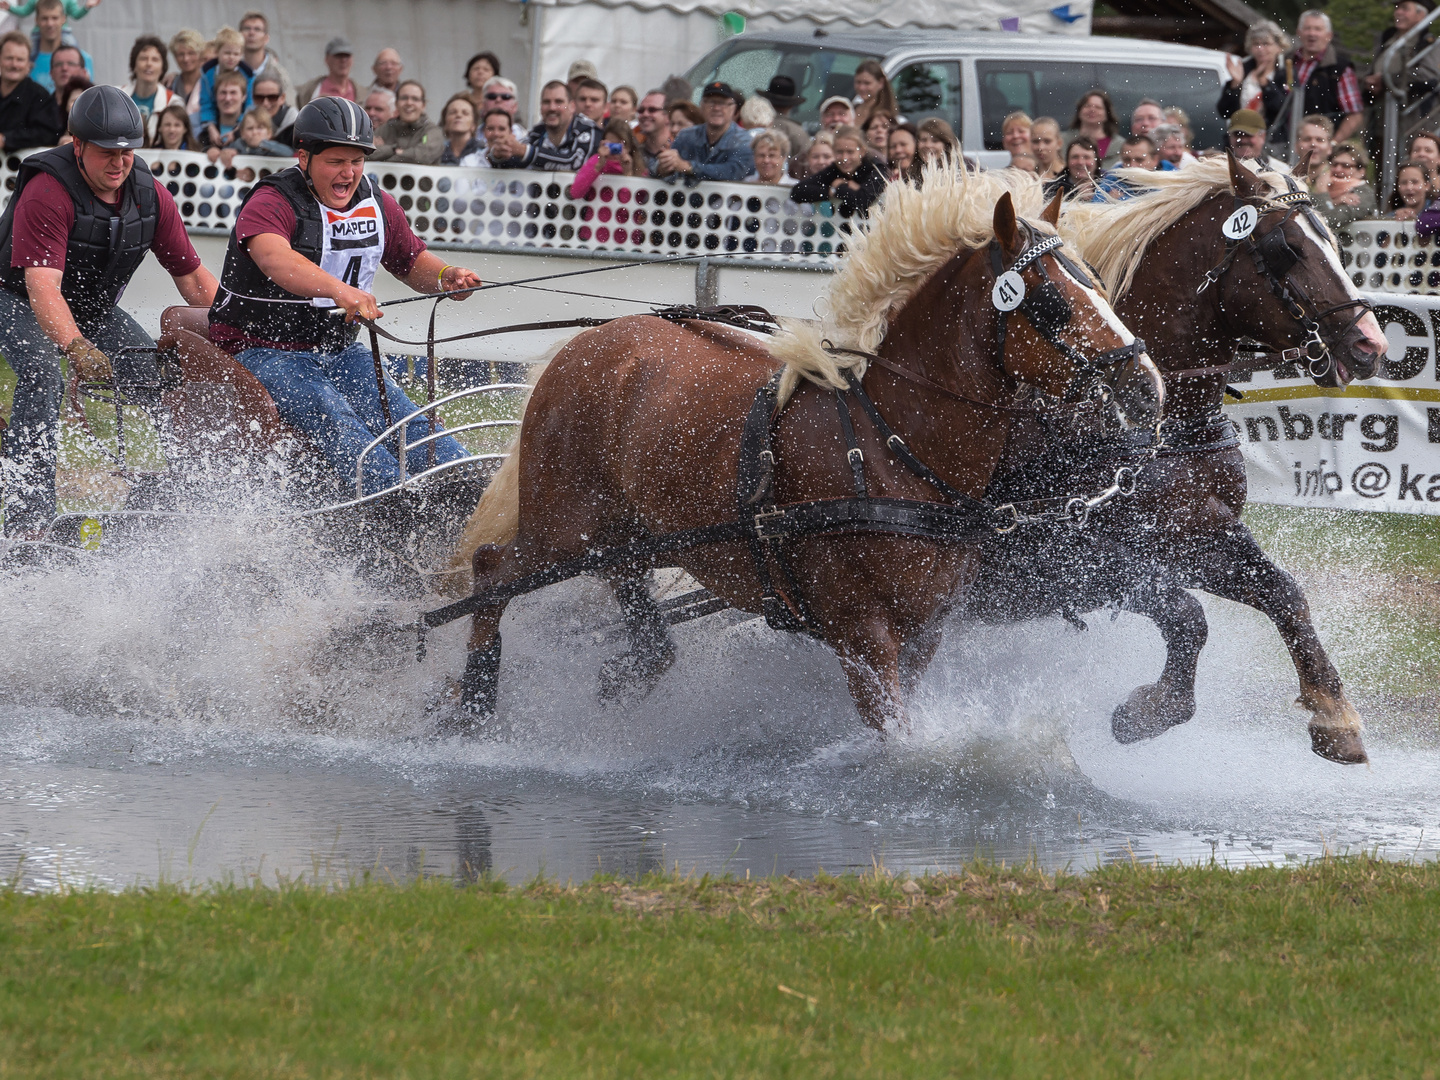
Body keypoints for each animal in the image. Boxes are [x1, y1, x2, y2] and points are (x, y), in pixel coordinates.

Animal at [443, 169, 1163, 743]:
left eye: (1101, 285)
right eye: (1054, 303)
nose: (1147, 387)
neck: (888, 447)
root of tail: (585, 346)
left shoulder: (925, 632)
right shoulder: (863, 634)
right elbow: (896, 735)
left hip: (632, 530)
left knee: (625, 592)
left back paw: (629, 672)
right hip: (567, 525)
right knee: (493, 571)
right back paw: (470, 706)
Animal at [961, 152, 1388, 766]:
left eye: (1332, 238)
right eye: (1287, 247)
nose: (1369, 344)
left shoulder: (1198, 534)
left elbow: (1284, 593)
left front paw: (1335, 714)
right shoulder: (1047, 562)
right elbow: (1185, 614)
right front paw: (1153, 709)